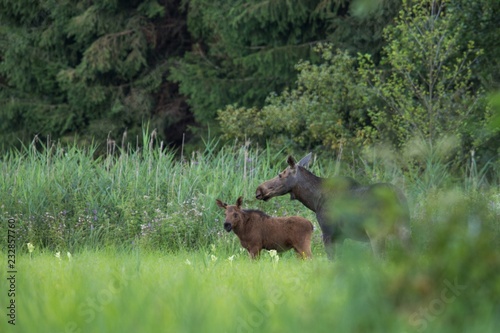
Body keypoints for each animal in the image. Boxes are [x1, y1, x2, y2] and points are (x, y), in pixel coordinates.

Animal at [256, 153, 412, 256]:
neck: (314, 201)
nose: (259, 190)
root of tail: (397, 198)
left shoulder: (328, 232)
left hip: (376, 232)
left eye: (280, 174)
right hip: (404, 229)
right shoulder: (341, 236)